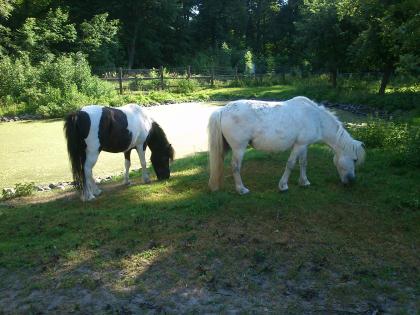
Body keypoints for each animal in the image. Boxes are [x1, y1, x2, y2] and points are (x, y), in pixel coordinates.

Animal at [208, 96, 366, 195]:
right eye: (354, 160)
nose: (351, 181)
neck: (315, 118)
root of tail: (222, 110)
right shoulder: (298, 145)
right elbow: (290, 164)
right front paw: (283, 186)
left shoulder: (304, 145)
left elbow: (303, 163)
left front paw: (304, 182)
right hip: (239, 148)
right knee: (235, 167)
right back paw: (241, 190)